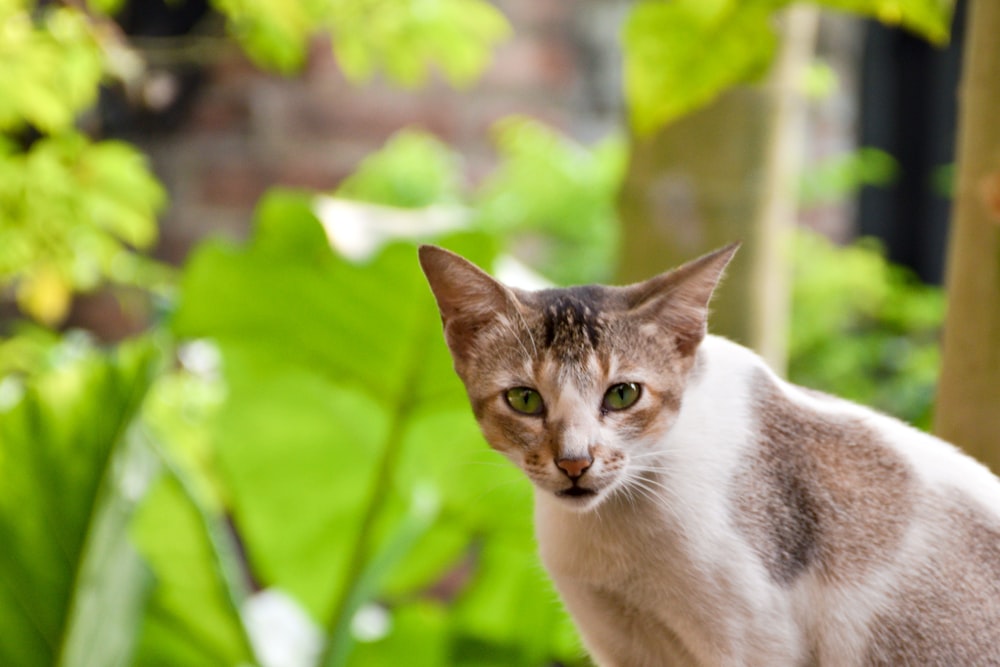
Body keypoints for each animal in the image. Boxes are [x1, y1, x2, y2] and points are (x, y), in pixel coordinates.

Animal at [416, 243, 1000, 664]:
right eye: (524, 399)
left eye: (623, 394)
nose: (575, 461)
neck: (617, 532)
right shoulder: (622, 646)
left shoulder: (752, 644)